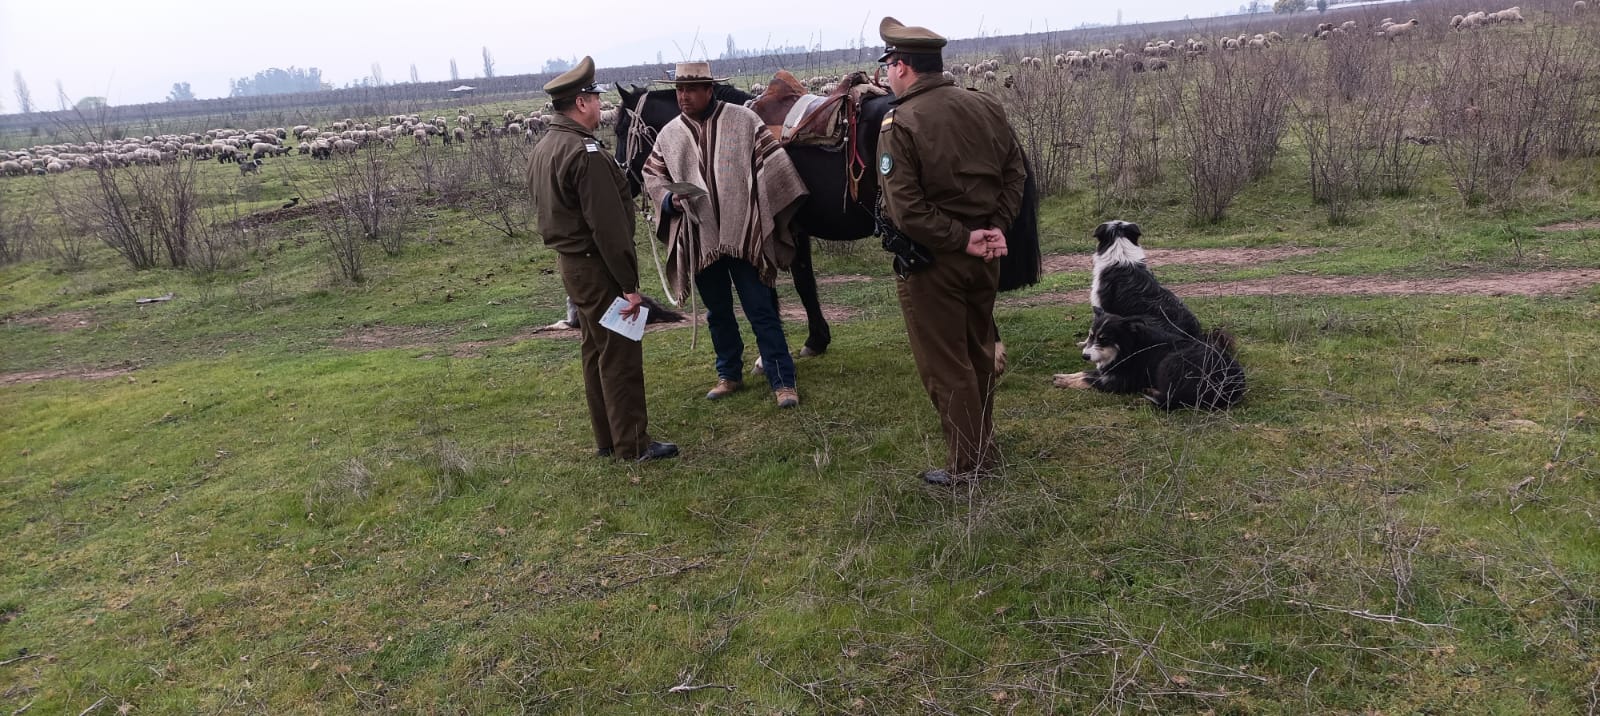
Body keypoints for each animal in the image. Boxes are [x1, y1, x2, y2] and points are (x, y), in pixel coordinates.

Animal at [604, 83, 1043, 358]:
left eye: (623, 128)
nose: (622, 176)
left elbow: (779, 289)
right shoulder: (794, 230)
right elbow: (805, 283)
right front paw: (817, 340)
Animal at [1062, 311, 1248, 412]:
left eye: (1104, 339)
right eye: (1090, 336)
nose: (1085, 356)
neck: (1130, 348)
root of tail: (1232, 384)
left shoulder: (1121, 381)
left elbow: (1090, 379)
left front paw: (1065, 381)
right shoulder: (1110, 370)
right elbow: (1086, 373)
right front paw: (1064, 377)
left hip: (1169, 361)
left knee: (1169, 400)